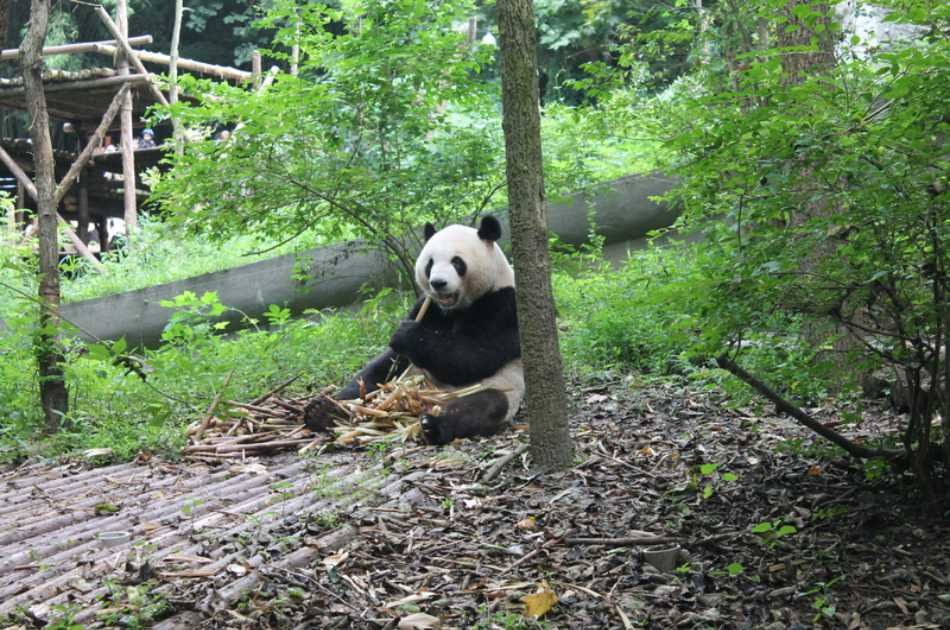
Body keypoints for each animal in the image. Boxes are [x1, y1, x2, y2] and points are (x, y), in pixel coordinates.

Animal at [330, 216, 524, 445]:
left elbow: (473, 357)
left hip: (497, 386)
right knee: (374, 374)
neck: (454, 309)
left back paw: (433, 425)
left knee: (482, 406)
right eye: (430, 263)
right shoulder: (429, 306)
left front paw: (407, 335)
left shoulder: (504, 305)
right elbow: (394, 357)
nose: (438, 283)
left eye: (457, 262)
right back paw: (328, 407)